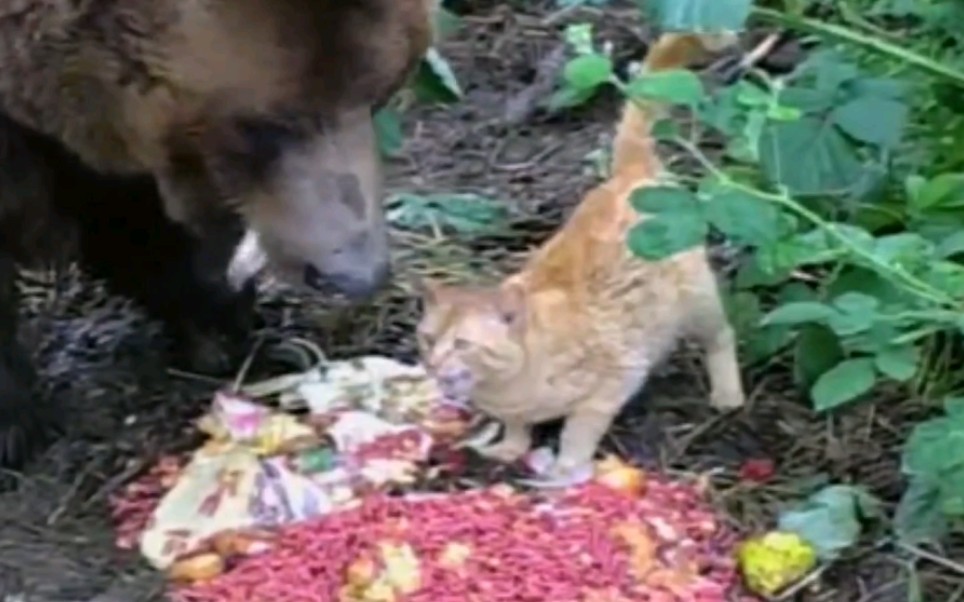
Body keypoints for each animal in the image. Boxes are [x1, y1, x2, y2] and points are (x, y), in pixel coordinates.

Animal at [0, 0, 434, 468]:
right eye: (265, 125)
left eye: (383, 91)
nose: (357, 275)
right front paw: (15, 423)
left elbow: (124, 208)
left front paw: (220, 320)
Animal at [416, 34, 744, 482]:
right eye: (427, 339)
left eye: (463, 344)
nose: (433, 363)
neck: (507, 386)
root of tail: (630, 171)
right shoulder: (516, 409)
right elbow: (516, 427)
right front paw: (510, 447)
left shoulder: (613, 380)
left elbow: (578, 430)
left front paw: (566, 468)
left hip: (698, 301)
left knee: (721, 336)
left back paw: (728, 394)